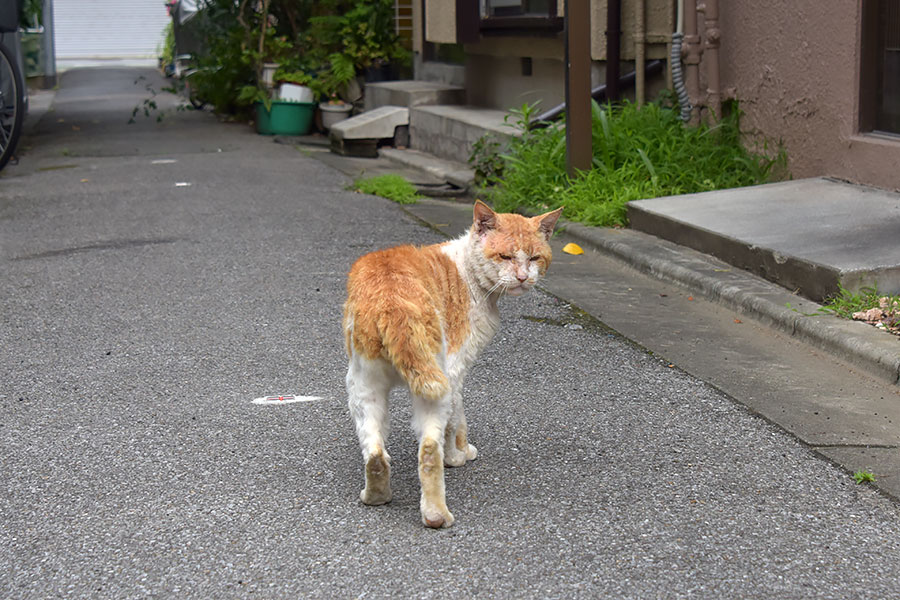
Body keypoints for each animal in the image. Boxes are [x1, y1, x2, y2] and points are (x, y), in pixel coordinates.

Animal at [342, 199, 560, 528]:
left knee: (375, 450)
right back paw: (436, 514)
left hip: (363, 385)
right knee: (429, 448)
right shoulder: (456, 369)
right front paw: (458, 455)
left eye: (534, 257)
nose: (523, 277)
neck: (468, 272)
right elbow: (458, 419)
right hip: (433, 384)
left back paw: (377, 494)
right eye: (505, 256)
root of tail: (391, 298)